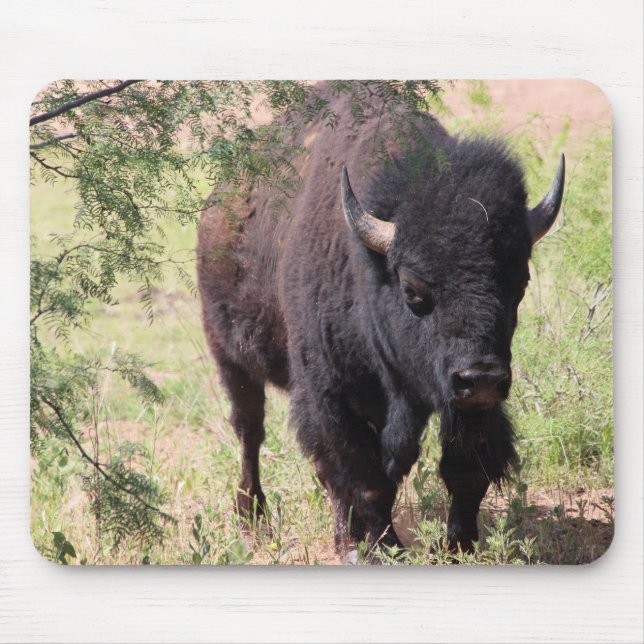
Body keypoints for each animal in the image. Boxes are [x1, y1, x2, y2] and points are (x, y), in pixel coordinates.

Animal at [197, 85, 564, 559]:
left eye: (520, 282)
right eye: (412, 288)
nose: (480, 376)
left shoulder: (466, 402)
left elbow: (465, 469)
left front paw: (458, 546)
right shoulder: (330, 396)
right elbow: (366, 479)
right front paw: (383, 547)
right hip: (230, 357)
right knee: (251, 432)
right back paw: (256, 521)